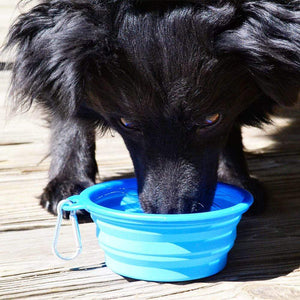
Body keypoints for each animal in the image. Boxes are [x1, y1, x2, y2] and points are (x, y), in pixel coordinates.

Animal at [4, 0, 298, 218]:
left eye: (211, 119)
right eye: (127, 123)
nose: (171, 212)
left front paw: (235, 179)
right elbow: (65, 92)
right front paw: (67, 182)